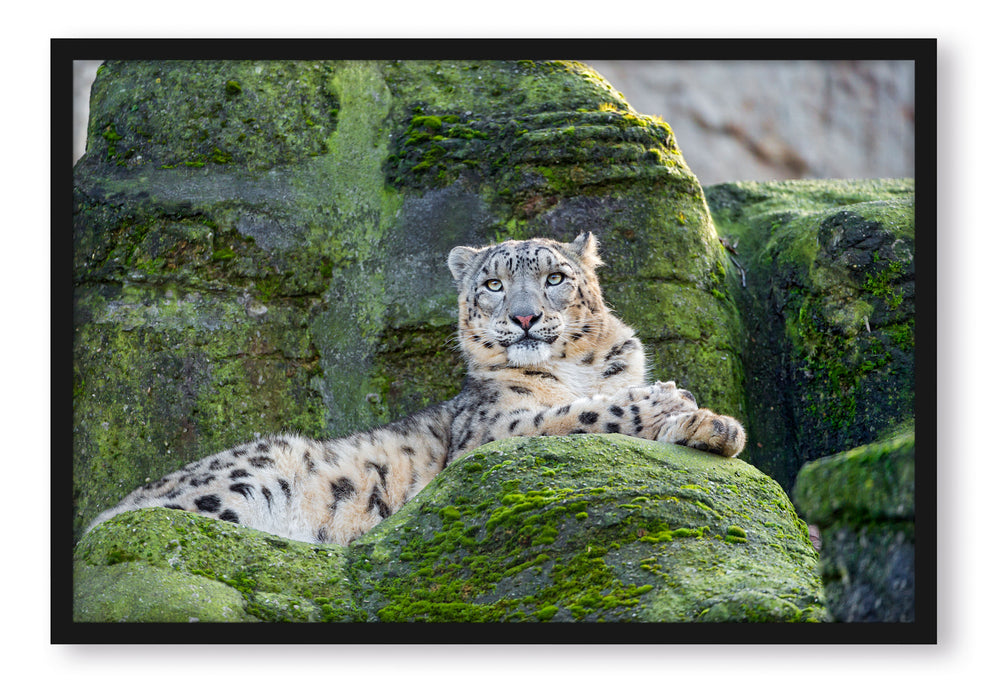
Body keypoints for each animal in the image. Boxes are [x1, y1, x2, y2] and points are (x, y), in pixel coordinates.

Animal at [87, 232, 744, 544]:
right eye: (493, 285)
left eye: (555, 278)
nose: (525, 317)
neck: (576, 369)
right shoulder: (493, 429)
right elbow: (576, 415)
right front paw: (664, 399)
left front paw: (712, 425)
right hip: (249, 475)